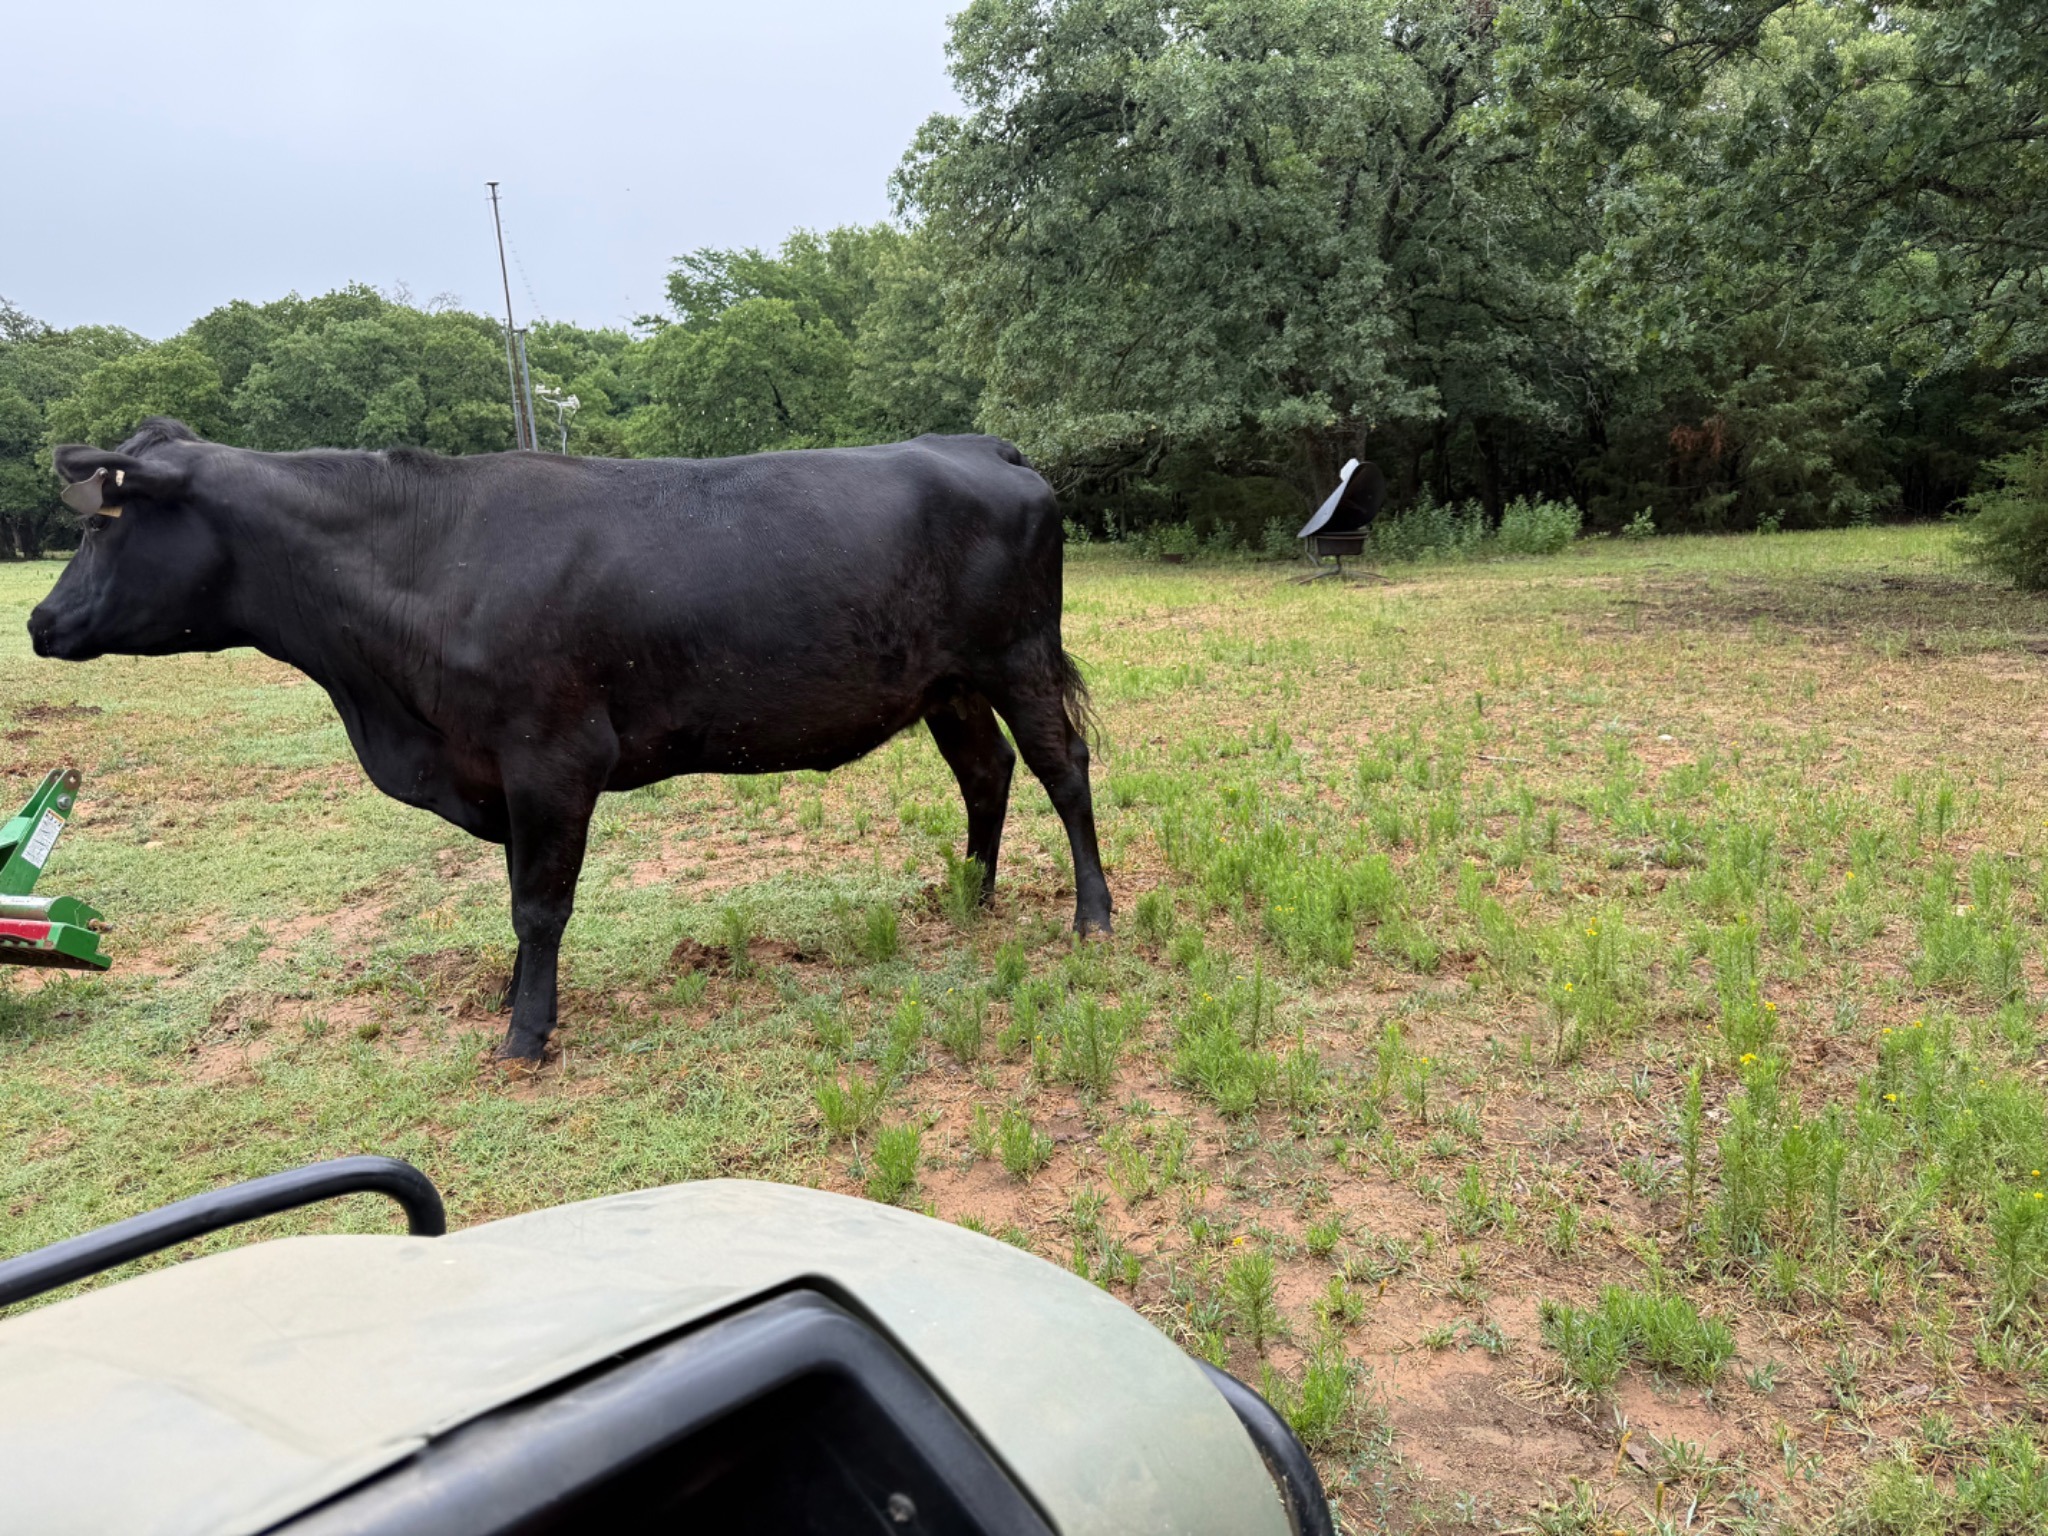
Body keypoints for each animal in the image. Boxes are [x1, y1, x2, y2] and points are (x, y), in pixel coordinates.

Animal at [29, 419, 1111, 1061]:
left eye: (108, 522)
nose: (40, 620)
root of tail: (976, 444)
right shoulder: (501, 773)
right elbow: (517, 897)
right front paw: (513, 998)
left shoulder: (552, 758)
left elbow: (540, 904)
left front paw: (526, 1033)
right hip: (947, 683)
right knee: (986, 773)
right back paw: (970, 894)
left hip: (1016, 656)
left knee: (1061, 770)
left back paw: (1091, 917)